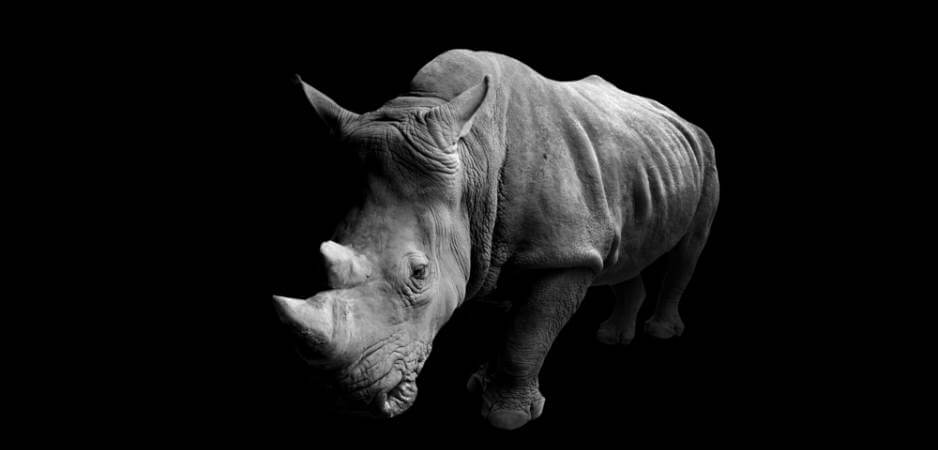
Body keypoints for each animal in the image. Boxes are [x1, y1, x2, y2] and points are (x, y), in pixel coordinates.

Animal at [273, 49, 719, 430]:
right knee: (628, 254)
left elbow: (527, 332)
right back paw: (612, 338)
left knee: (690, 248)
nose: (351, 400)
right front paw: (481, 383)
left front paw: (508, 417)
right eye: (326, 252)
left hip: (705, 150)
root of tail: (678, 117)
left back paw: (661, 332)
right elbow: (515, 325)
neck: (474, 161)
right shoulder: (492, 250)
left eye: (419, 273)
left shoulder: (568, 254)